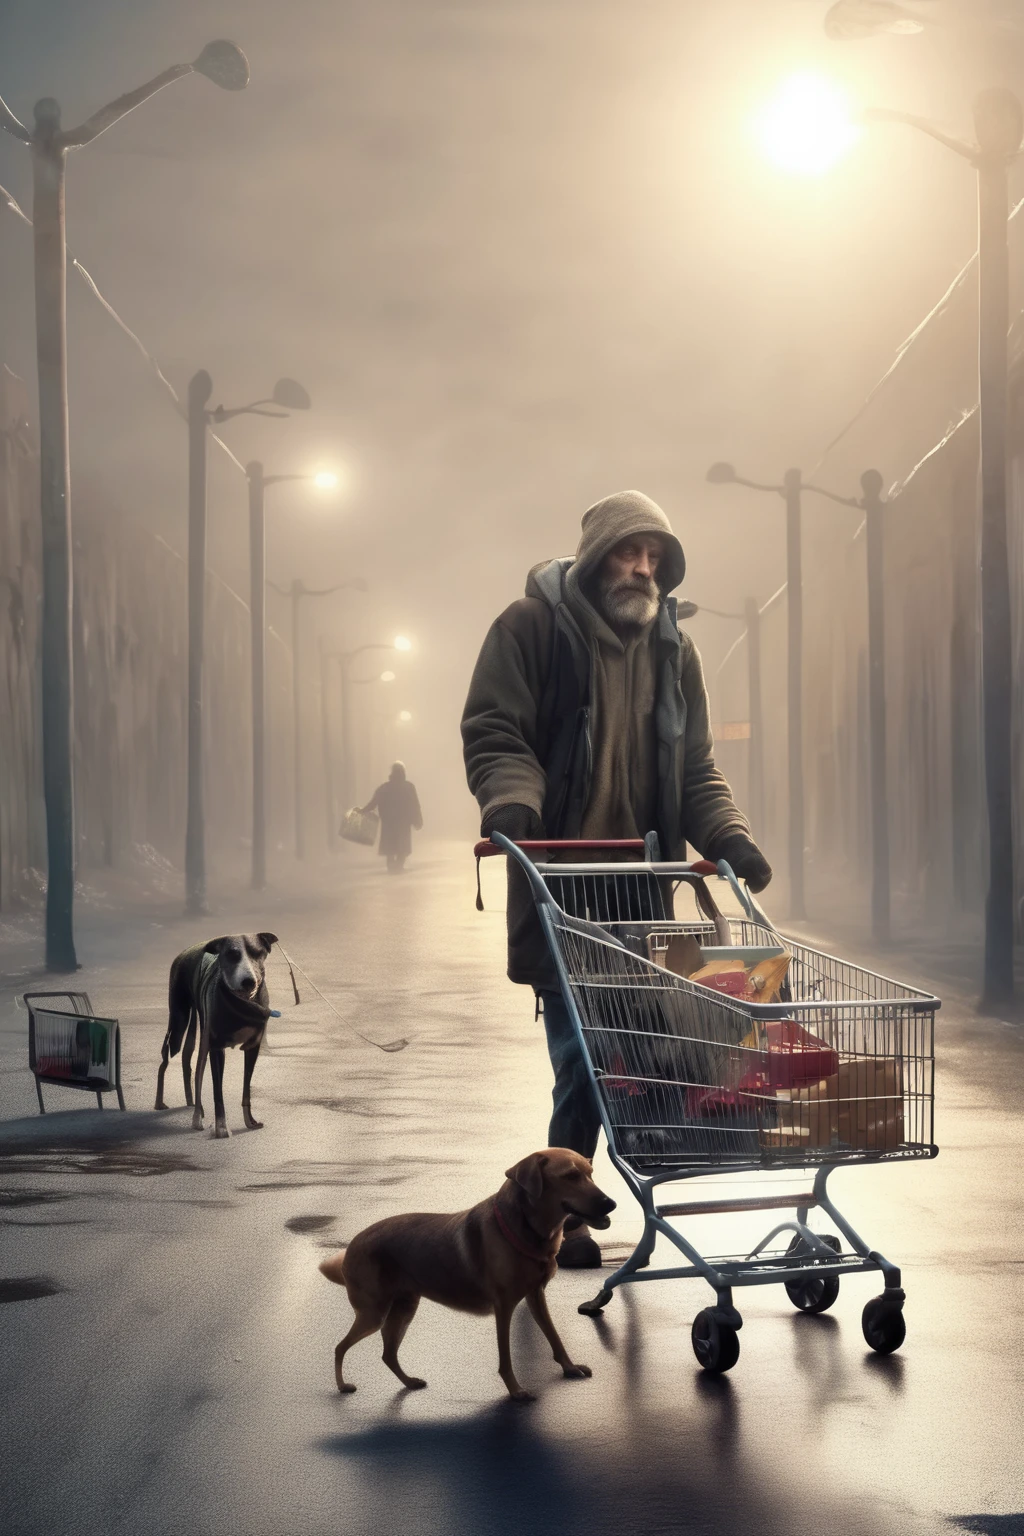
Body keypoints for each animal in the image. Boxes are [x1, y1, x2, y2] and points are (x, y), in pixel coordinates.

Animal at [156, 927, 277, 1136]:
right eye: (231, 955)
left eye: (258, 953)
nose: (249, 981)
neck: (242, 1004)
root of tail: (184, 952)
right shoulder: (217, 1048)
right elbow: (217, 1092)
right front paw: (221, 1128)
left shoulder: (252, 1048)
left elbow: (246, 1089)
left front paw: (250, 1121)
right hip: (180, 1022)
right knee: (167, 1059)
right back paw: (165, 1105)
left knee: (190, 1061)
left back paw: (194, 1106)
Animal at [317, 1142, 617, 1406]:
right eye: (571, 1176)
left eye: (590, 1173)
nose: (611, 1203)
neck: (524, 1229)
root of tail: (353, 1244)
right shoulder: (503, 1307)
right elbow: (505, 1358)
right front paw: (515, 1391)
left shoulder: (536, 1296)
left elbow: (555, 1337)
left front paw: (569, 1367)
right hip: (374, 1313)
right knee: (340, 1347)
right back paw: (343, 1385)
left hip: (403, 1309)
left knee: (387, 1354)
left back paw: (409, 1382)